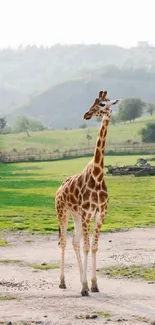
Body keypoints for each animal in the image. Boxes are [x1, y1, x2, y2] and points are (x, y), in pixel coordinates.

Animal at [55, 90, 120, 294]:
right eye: (94, 102)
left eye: (103, 104)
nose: (86, 115)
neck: (98, 176)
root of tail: (59, 188)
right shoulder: (87, 214)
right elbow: (86, 247)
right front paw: (84, 287)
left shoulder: (99, 214)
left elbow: (93, 247)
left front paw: (93, 284)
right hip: (63, 212)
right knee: (64, 242)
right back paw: (62, 282)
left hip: (75, 215)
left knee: (74, 241)